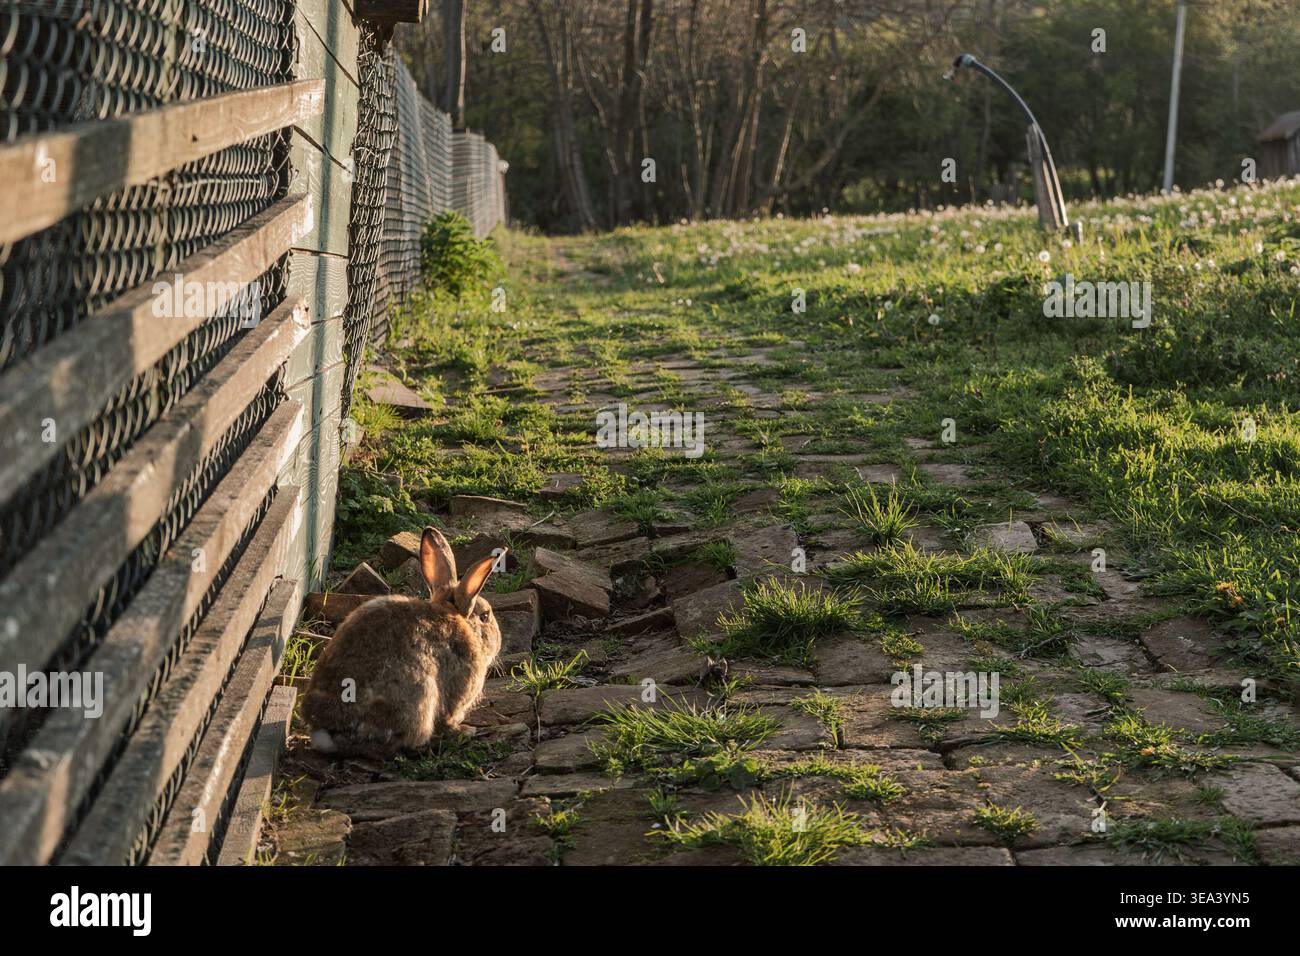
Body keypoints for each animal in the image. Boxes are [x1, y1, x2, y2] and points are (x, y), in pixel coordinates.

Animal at [303, 526, 504, 758]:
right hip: (418, 693)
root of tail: (326, 732)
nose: (499, 643)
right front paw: (465, 730)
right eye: (485, 616)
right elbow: (449, 717)